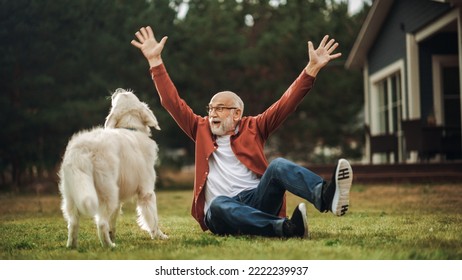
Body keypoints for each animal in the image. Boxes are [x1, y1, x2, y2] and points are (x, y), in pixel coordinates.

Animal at [58, 88, 168, 247]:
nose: (118, 90)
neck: (131, 128)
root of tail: (84, 149)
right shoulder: (146, 192)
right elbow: (152, 218)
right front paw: (159, 235)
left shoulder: (119, 199)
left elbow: (113, 222)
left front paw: (113, 235)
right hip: (107, 193)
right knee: (101, 223)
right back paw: (109, 246)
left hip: (72, 194)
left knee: (73, 223)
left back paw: (72, 246)